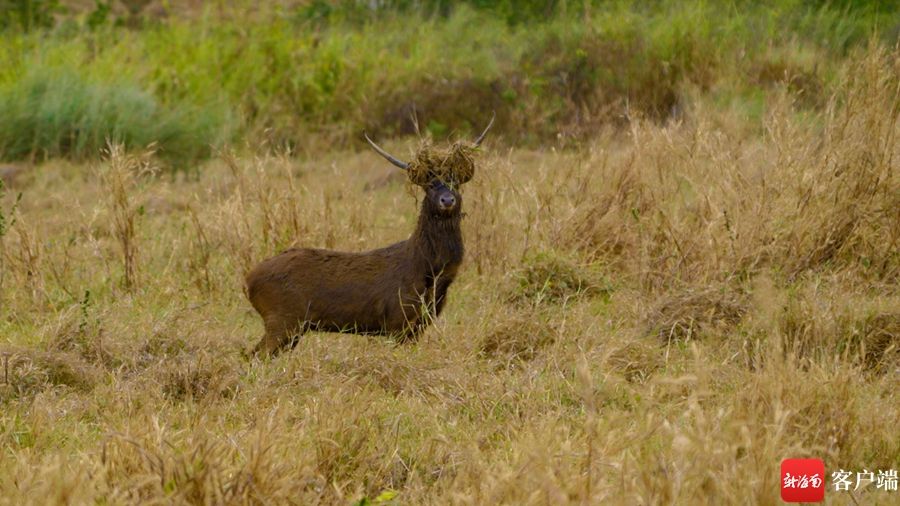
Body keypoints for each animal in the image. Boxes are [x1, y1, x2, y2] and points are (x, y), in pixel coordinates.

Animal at [244, 117, 492, 358]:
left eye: (455, 183)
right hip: (281, 318)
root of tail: (248, 281)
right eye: (430, 185)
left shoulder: (419, 324)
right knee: (254, 355)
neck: (429, 272)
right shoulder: (396, 319)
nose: (447, 200)